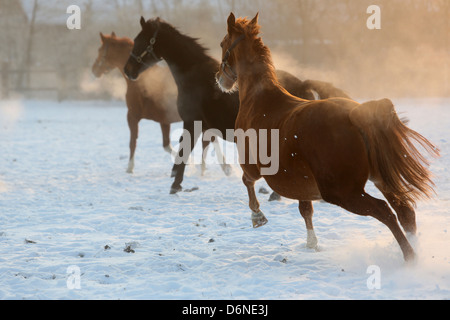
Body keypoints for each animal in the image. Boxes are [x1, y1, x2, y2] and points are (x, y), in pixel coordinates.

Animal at [124, 16, 352, 195]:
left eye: (140, 40)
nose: (128, 70)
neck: (194, 77)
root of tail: (303, 84)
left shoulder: (191, 122)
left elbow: (183, 152)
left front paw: (175, 185)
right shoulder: (204, 127)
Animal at [216, 13, 442, 262]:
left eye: (222, 43)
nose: (219, 78)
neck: (260, 100)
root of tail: (356, 114)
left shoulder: (252, 166)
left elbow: (247, 181)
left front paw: (257, 216)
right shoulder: (300, 181)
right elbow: (305, 210)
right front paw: (311, 243)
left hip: (343, 192)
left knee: (385, 212)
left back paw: (409, 256)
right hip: (379, 178)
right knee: (405, 211)